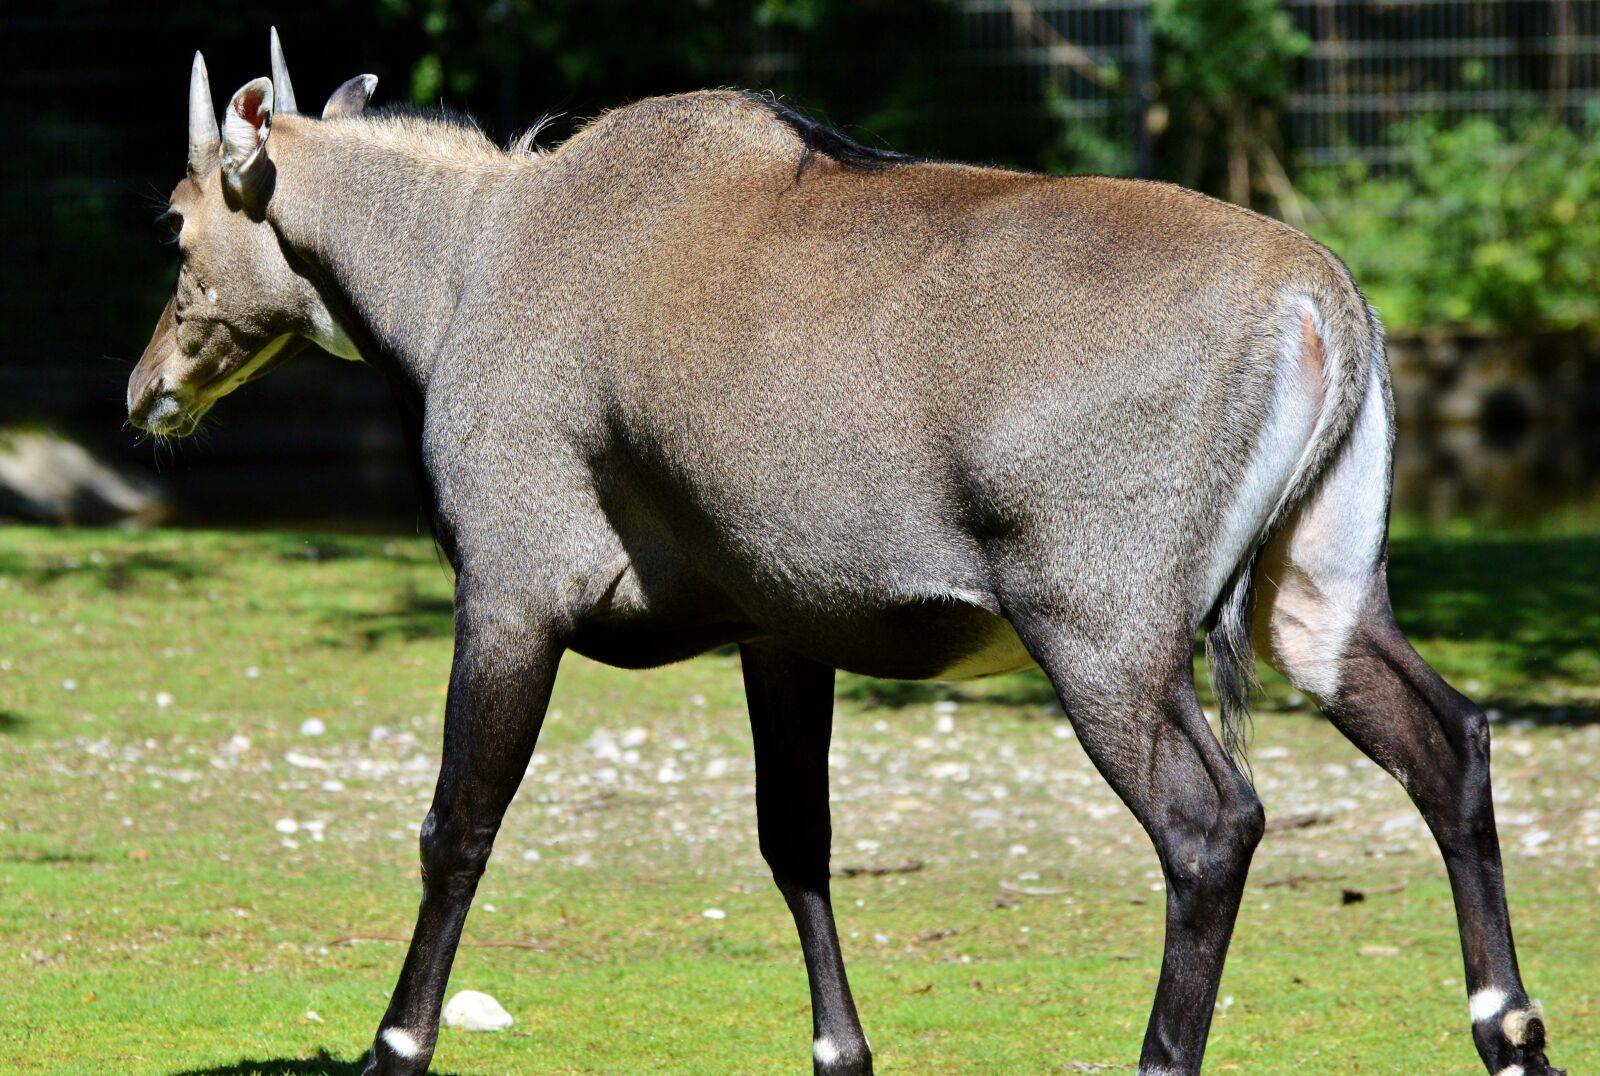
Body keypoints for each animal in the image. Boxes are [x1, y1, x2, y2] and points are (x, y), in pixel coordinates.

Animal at [127, 32, 1563, 1076]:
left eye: (177, 223)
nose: (149, 391)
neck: (476, 254)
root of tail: (1323, 305)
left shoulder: (512, 591)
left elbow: (457, 824)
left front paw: (395, 1044)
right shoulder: (779, 631)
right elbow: (796, 842)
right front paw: (841, 1048)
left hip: (1103, 633)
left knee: (1213, 827)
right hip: (1315, 598)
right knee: (1450, 743)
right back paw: (1510, 1032)